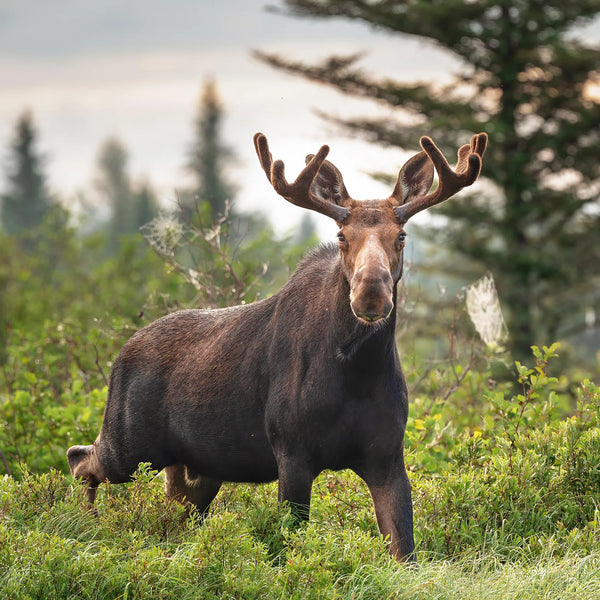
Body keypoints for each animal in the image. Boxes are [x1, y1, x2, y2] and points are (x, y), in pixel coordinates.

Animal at [67, 129, 488, 560]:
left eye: (401, 236)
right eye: (341, 237)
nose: (371, 293)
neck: (356, 372)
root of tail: (120, 355)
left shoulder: (386, 455)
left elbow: (406, 552)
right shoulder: (292, 451)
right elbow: (289, 544)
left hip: (197, 469)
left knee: (171, 513)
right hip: (130, 443)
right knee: (79, 458)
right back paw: (84, 525)